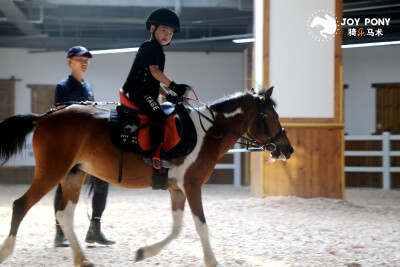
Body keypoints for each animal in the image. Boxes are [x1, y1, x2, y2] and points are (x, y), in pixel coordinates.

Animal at [0, 87, 294, 266]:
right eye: (272, 116)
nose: (288, 149)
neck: (208, 132)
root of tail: (44, 117)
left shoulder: (177, 189)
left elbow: (177, 229)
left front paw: (144, 252)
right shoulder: (192, 185)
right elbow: (201, 225)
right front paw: (213, 261)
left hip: (74, 175)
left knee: (64, 215)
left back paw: (82, 259)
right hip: (51, 172)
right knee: (21, 205)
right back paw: (6, 251)